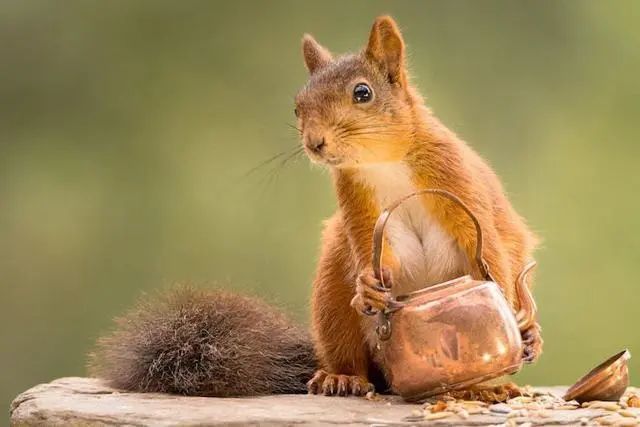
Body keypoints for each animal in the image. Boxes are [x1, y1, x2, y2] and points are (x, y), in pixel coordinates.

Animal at [89, 15, 540, 400]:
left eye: (363, 93)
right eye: (297, 106)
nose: (314, 142)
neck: (384, 162)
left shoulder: (457, 180)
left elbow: (489, 249)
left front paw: (510, 319)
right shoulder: (357, 206)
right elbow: (375, 253)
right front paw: (369, 284)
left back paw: (491, 380)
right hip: (332, 294)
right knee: (349, 351)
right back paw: (341, 377)